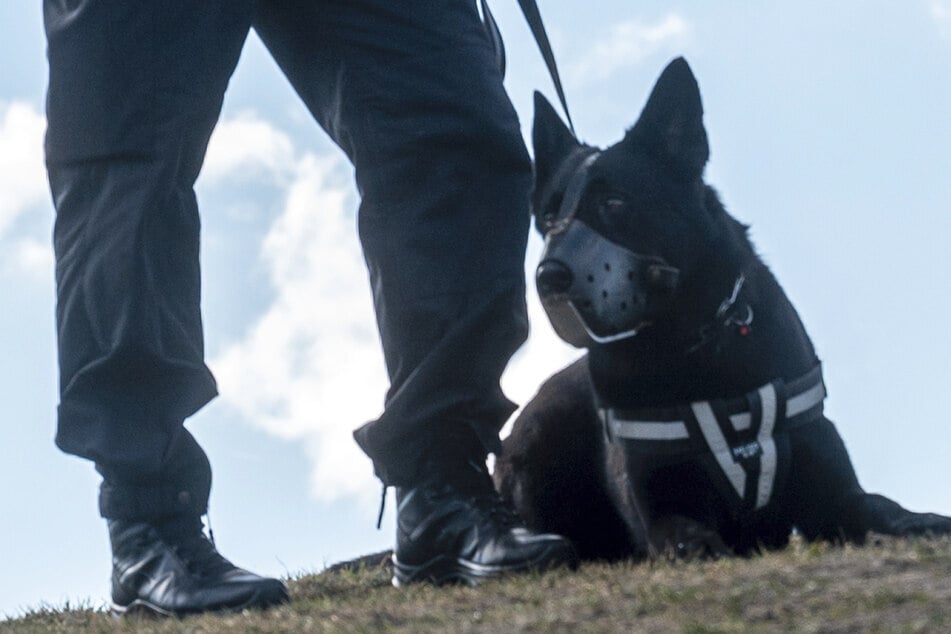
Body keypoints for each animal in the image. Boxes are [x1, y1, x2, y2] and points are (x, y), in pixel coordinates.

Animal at [494, 55, 951, 556]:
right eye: (548, 217)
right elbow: (686, 535)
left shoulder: (831, 492)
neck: (693, 344)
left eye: (613, 202)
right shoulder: (664, 507)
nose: (547, 278)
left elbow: (879, 507)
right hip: (541, 430)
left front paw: (923, 519)